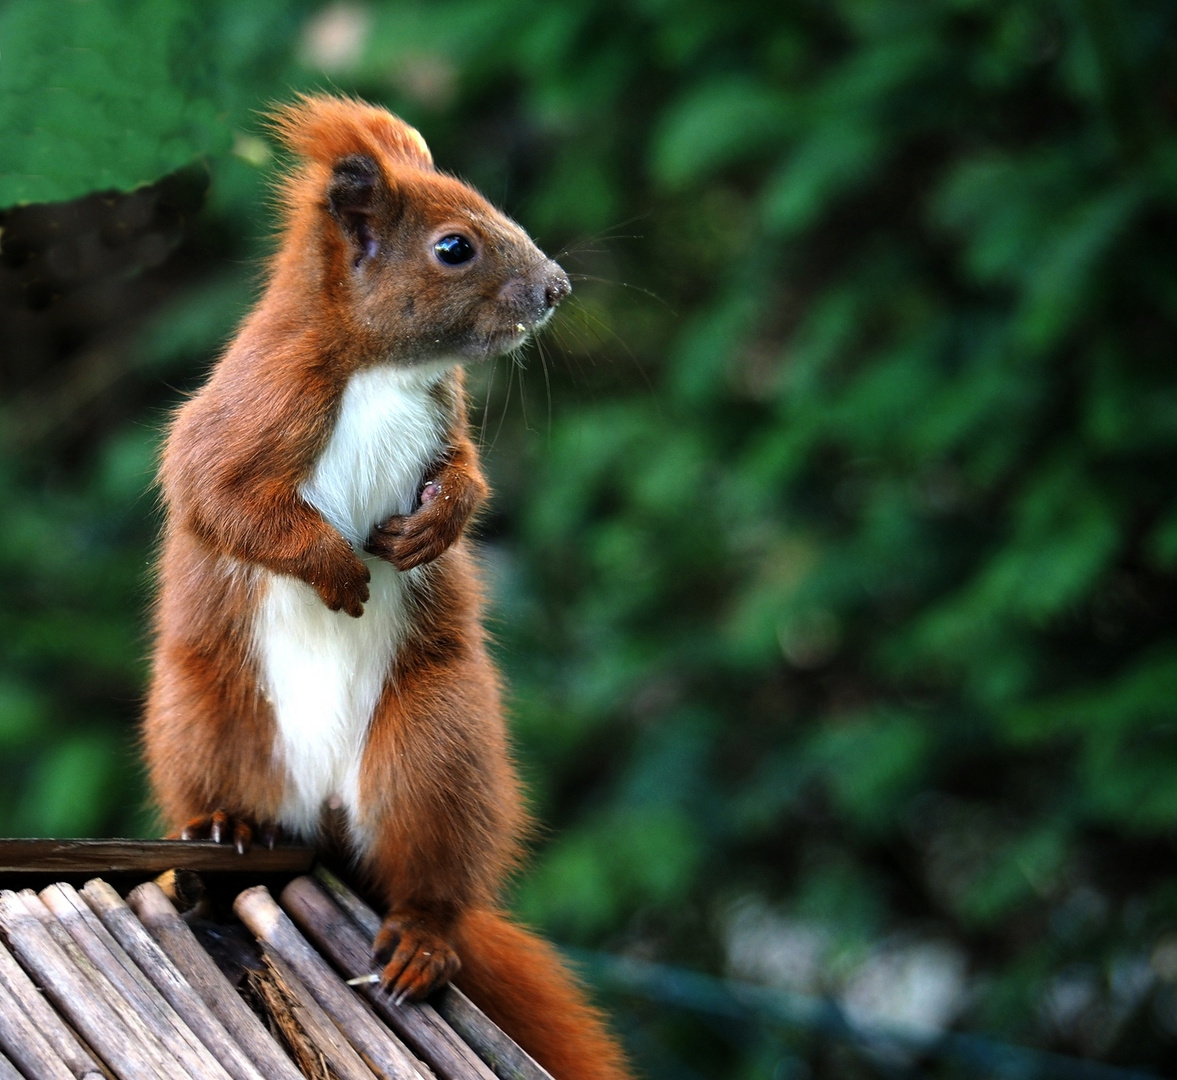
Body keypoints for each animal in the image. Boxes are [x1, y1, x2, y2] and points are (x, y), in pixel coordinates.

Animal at [145, 95, 635, 1080]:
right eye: (453, 246)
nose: (558, 287)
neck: (382, 370)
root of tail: (324, 816)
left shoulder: (446, 423)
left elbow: (467, 478)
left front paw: (435, 527)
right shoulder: (246, 413)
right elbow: (227, 503)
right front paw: (337, 567)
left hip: (436, 747)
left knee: (431, 881)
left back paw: (419, 941)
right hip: (206, 717)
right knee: (227, 795)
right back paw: (224, 829)